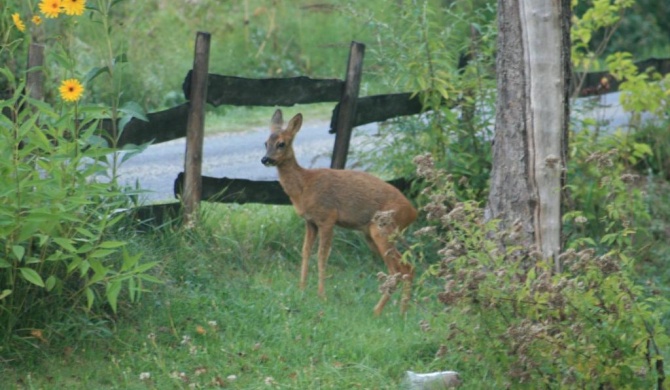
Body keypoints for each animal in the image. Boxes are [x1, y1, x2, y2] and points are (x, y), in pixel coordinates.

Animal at [260, 108, 418, 316]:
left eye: (281, 143)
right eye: (265, 143)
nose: (265, 159)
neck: (304, 185)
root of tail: (413, 212)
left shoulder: (328, 217)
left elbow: (322, 255)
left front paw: (321, 295)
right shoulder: (310, 222)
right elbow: (305, 252)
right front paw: (301, 289)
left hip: (383, 230)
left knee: (400, 269)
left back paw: (377, 311)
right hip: (373, 235)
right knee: (407, 268)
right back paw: (401, 312)